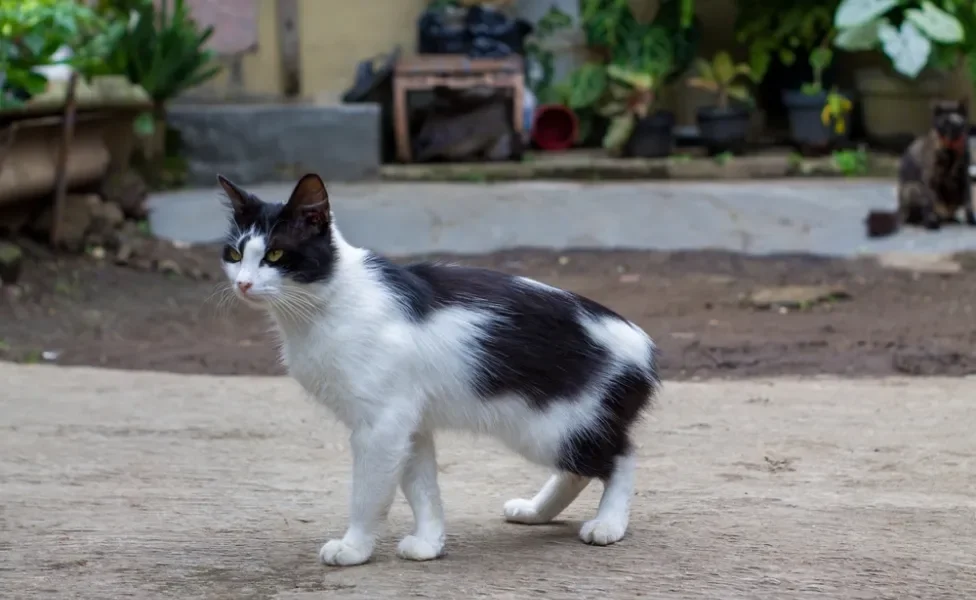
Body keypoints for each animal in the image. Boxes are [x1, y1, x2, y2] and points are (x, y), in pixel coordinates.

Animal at [217, 175, 660, 568]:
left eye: (275, 255)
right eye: (235, 255)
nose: (243, 284)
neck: (327, 301)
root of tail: (643, 344)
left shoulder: (381, 425)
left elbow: (369, 495)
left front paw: (354, 548)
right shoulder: (409, 425)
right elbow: (422, 488)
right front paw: (429, 543)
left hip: (553, 428)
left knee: (621, 458)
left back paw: (608, 524)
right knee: (579, 470)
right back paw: (537, 511)